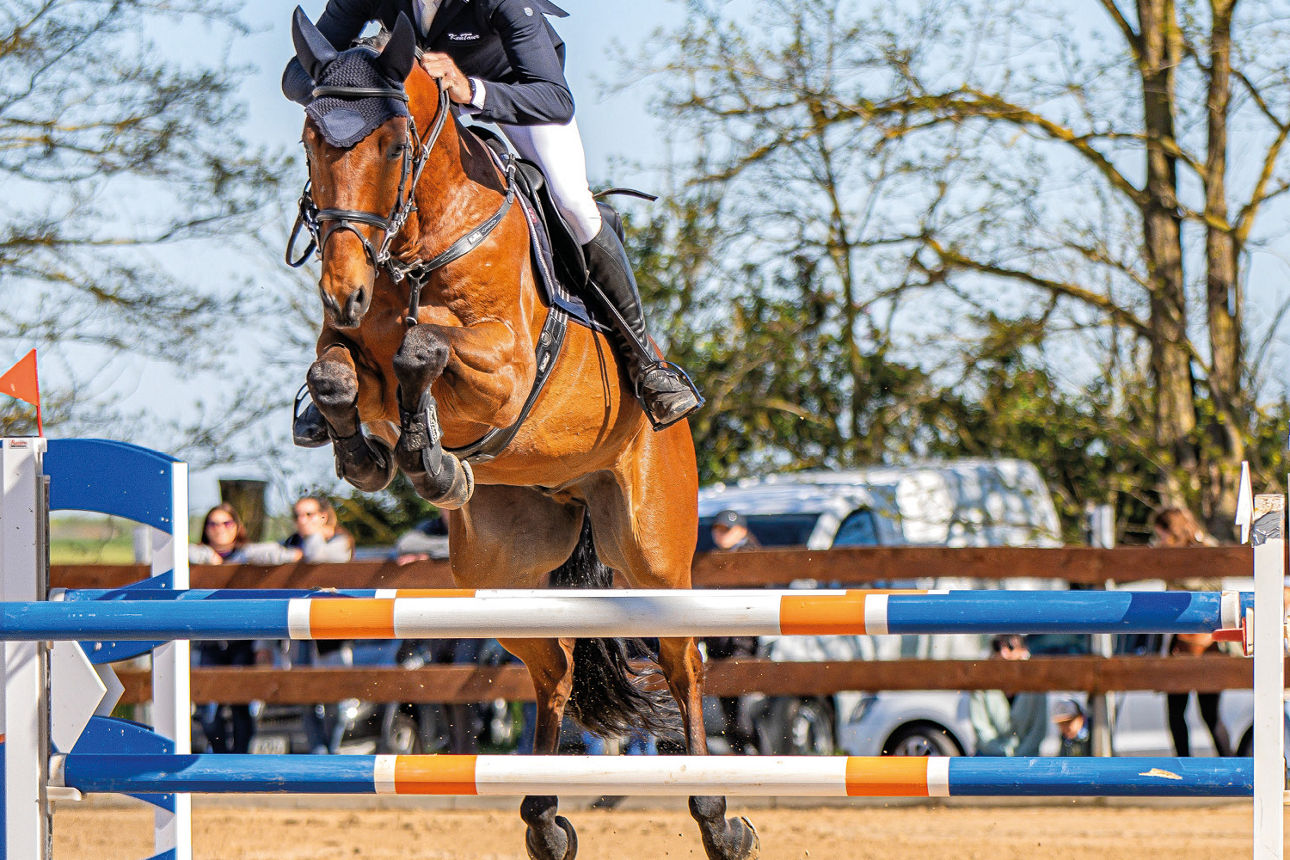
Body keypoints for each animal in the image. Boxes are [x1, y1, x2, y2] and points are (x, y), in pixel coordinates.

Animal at [285, 11, 759, 860]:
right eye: (311, 139)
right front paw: (373, 455)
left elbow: (423, 348)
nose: (344, 288)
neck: (420, 240)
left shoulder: (503, 365)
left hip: (651, 551)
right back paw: (544, 816)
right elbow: (338, 373)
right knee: (556, 670)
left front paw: (429, 459)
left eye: (393, 147)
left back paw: (716, 817)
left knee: (684, 663)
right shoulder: (346, 341)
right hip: (501, 575)